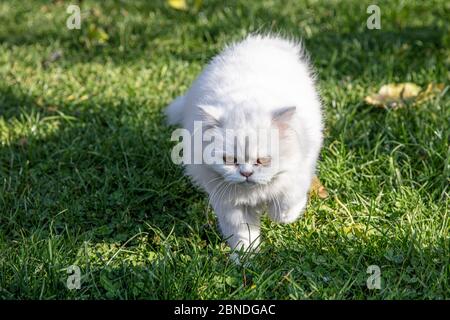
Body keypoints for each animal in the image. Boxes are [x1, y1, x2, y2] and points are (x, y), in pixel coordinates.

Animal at [165, 34, 324, 255]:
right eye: (230, 160)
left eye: (262, 160)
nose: (246, 173)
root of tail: (261, 41)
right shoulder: (230, 206)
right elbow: (242, 235)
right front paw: (246, 257)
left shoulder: (298, 173)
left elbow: (286, 204)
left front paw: (279, 216)